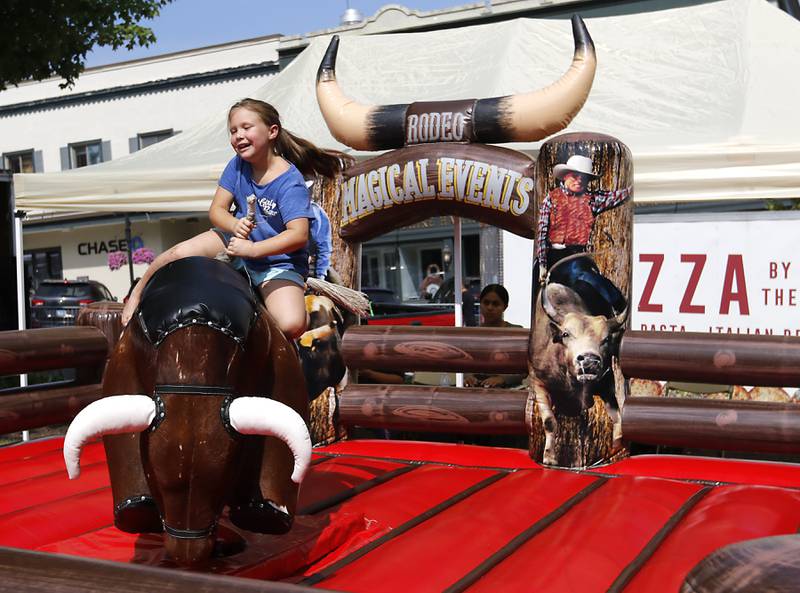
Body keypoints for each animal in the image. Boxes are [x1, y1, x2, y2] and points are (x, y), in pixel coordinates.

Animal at [61, 256, 312, 564]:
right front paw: (138, 510)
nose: (188, 555)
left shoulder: (279, 359)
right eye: (153, 476)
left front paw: (262, 514)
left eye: (227, 477)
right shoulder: (123, 361)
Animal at [532, 254, 624, 468]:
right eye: (566, 334)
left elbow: (616, 416)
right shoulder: (538, 382)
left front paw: (615, 447)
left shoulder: (606, 383)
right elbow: (549, 421)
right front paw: (549, 457)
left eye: (606, 339)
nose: (589, 361)